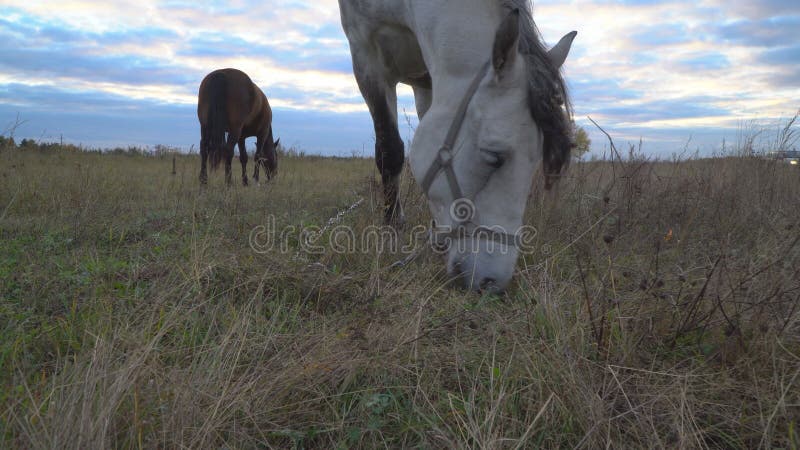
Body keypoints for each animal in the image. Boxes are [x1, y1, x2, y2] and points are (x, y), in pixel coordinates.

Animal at [338, 0, 576, 292]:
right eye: (494, 156)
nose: (493, 282)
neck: (403, 8)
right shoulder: (365, 55)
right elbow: (389, 150)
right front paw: (391, 231)